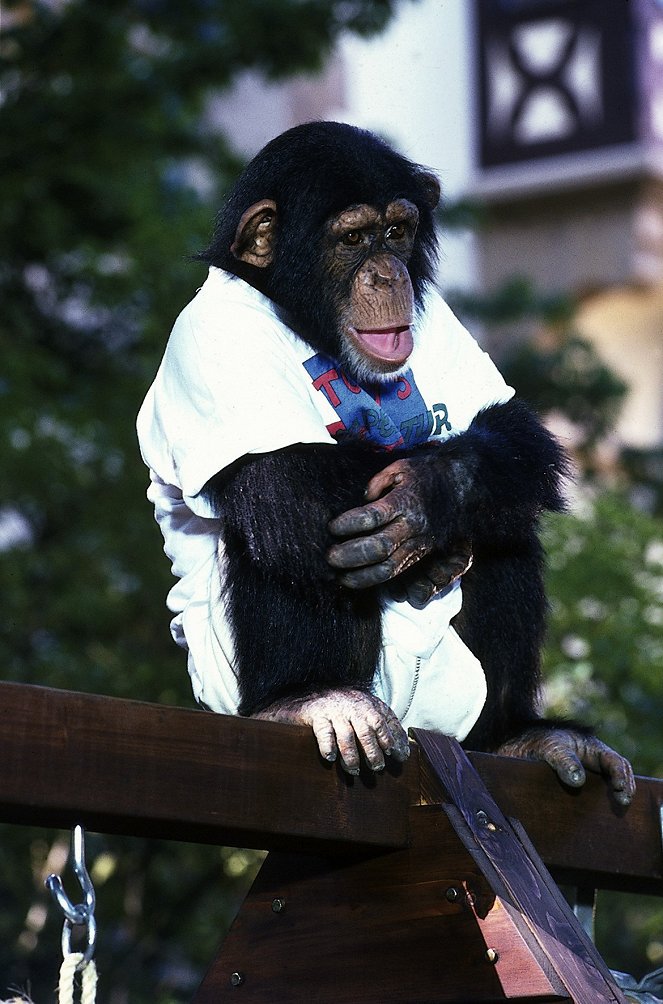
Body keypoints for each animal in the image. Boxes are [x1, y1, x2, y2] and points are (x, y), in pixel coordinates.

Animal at [137, 123, 634, 799]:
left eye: (397, 231)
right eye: (352, 239)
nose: (386, 274)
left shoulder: (440, 318)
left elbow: (513, 433)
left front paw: (429, 494)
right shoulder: (211, 336)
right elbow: (285, 477)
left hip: (458, 705)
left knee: (505, 521)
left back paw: (522, 732)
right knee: (280, 517)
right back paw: (311, 699)